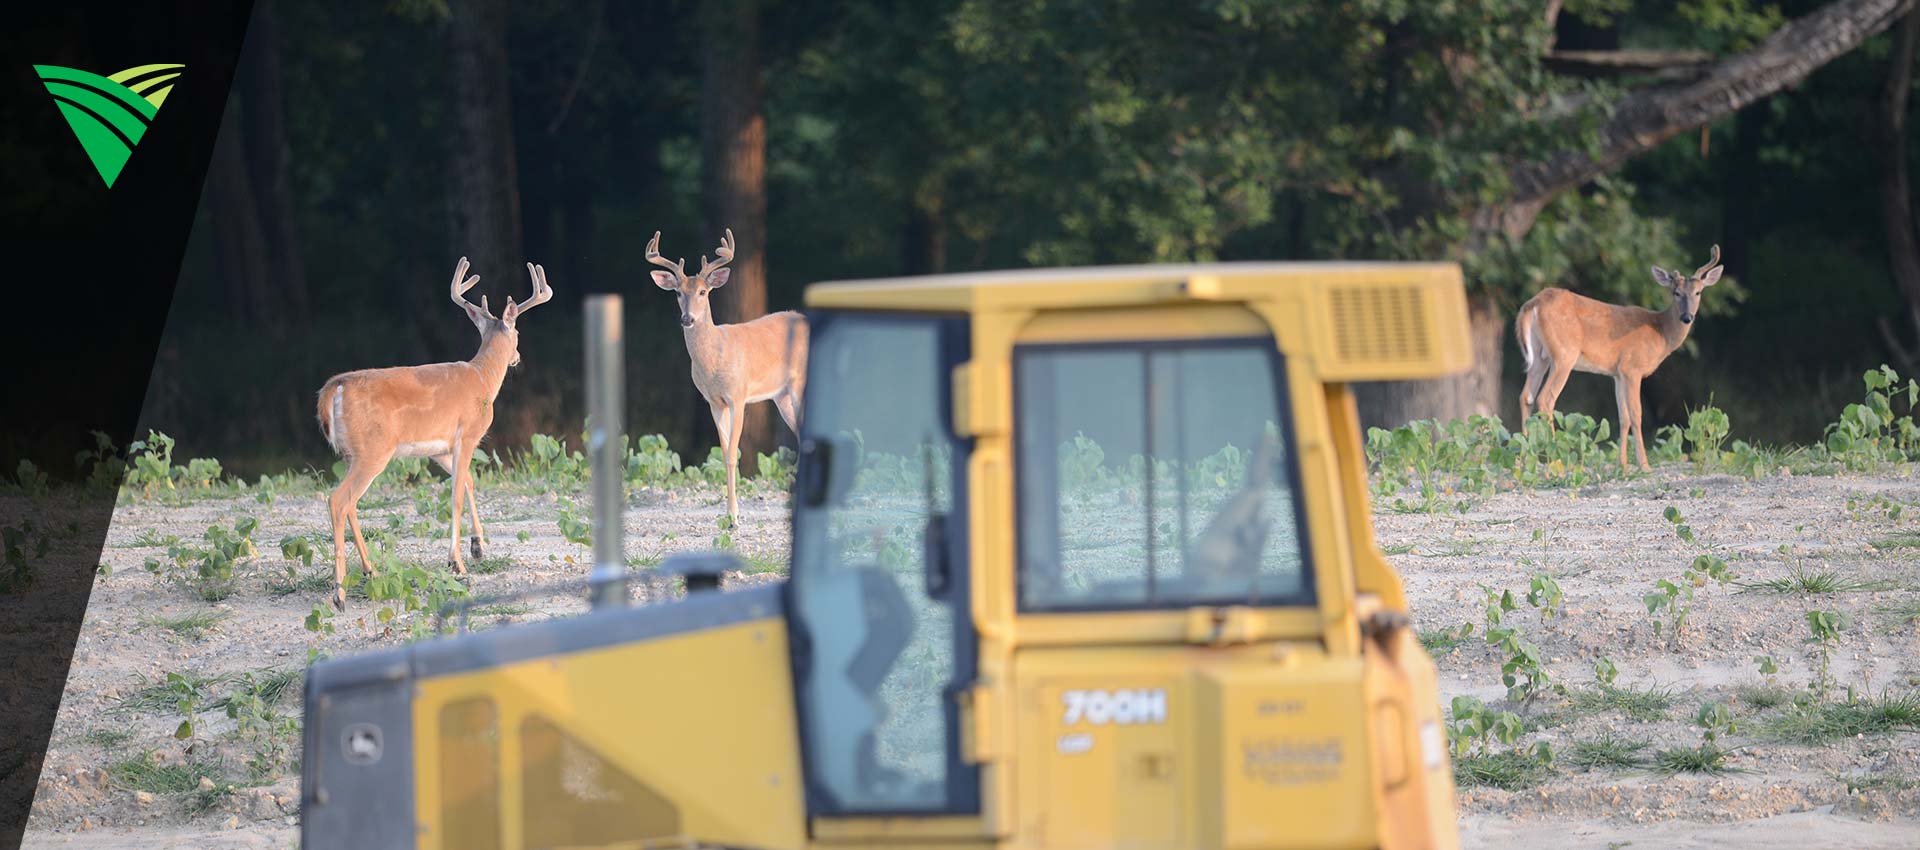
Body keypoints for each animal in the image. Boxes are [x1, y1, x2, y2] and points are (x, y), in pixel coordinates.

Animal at [314, 257, 553, 610]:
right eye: (519, 333)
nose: (518, 357)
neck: (483, 379)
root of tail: (334, 388)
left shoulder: (441, 448)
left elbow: (467, 482)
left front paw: (478, 546)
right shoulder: (468, 433)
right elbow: (455, 494)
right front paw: (457, 562)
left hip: (350, 454)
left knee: (350, 504)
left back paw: (371, 570)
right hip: (373, 450)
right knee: (337, 500)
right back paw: (339, 592)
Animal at [647, 228, 808, 522]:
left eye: (703, 291)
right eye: (677, 292)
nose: (687, 319)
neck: (713, 360)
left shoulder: (738, 396)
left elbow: (734, 453)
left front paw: (733, 516)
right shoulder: (713, 402)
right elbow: (723, 453)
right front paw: (728, 512)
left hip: (799, 383)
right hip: (781, 395)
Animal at [1515, 244, 1724, 472]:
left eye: (1698, 292)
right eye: (1675, 292)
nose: (1687, 317)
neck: (1660, 332)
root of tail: (1533, 304)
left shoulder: (1617, 373)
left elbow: (1623, 417)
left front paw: (1622, 465)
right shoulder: (1633, 368)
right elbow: (1636, 415)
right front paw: (1644, 465)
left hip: (1540, 357)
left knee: (1526, 396)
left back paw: (1525, 459)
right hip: (1564, 354)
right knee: (1545, 398)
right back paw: (1556, 460)